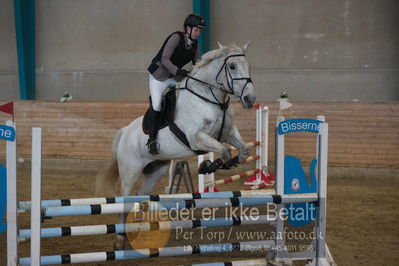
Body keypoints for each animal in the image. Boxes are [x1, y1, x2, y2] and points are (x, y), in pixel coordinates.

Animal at [96, 42, 256, 249]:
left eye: (248, 66)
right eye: (232, 66)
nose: (250, 99)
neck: (211, 97)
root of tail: (124, 132)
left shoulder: (227, 132)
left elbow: (243, 150)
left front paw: (227, 163)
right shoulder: (196, 137)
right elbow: (225, 151)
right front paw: (206, 166)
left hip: (156, 171)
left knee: (140, 196)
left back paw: (139, 233)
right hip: (130, 172)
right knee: (124, 201)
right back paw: (120, 241)